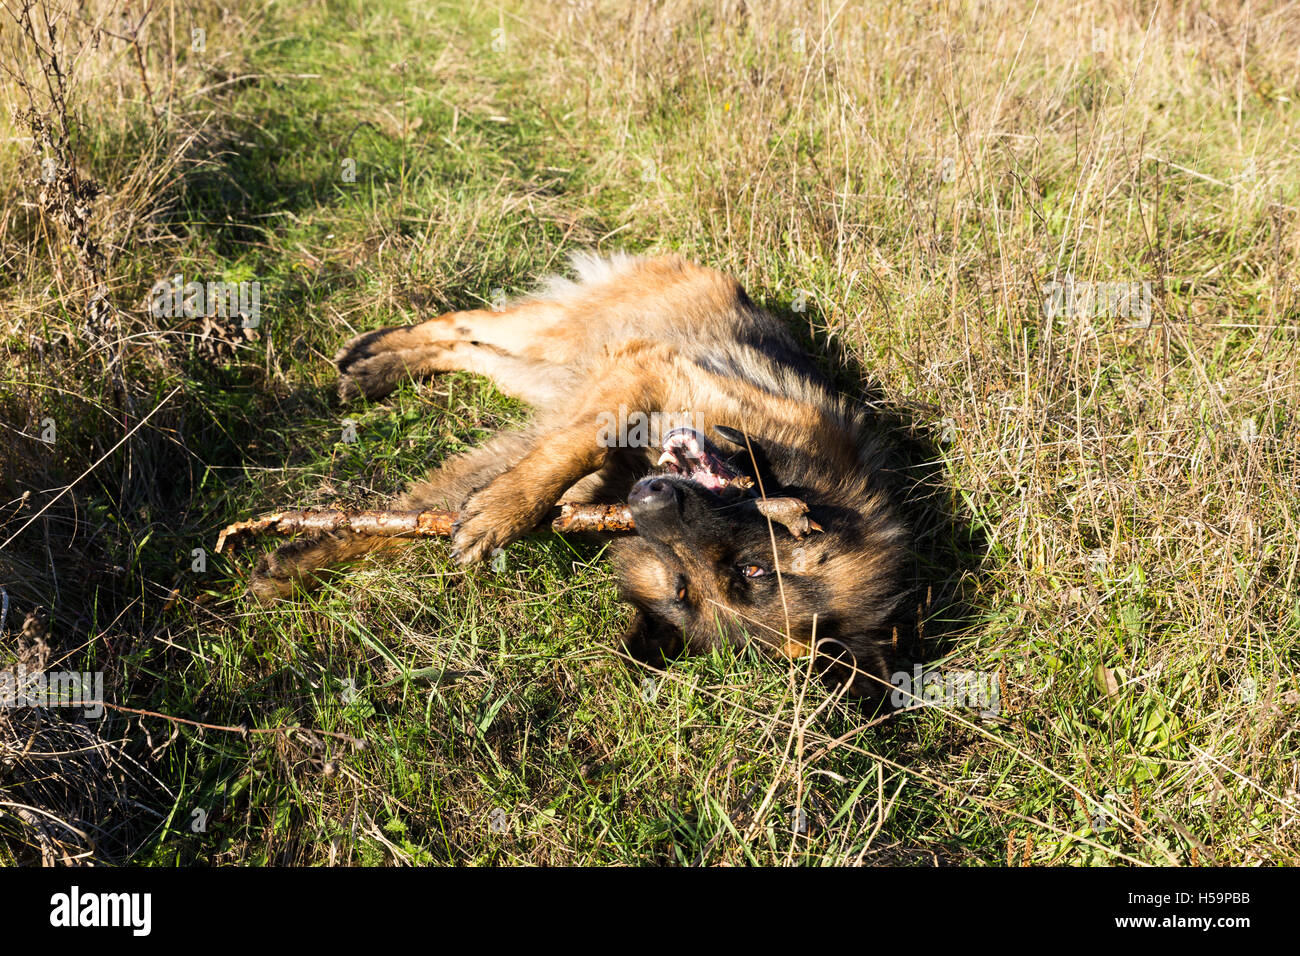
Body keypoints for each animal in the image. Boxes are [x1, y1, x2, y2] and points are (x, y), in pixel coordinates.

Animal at [250, 251, 904, 691]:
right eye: (753, 569)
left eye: (684, 590)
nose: (651, 502)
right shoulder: (640, 375)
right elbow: (576, 448)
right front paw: (503, 511)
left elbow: (416, 514)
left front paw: (302, 556)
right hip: (562, 337)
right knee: (464, 321)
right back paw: (371, 354)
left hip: (550, 371)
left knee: (470, 351)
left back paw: (377, 369)